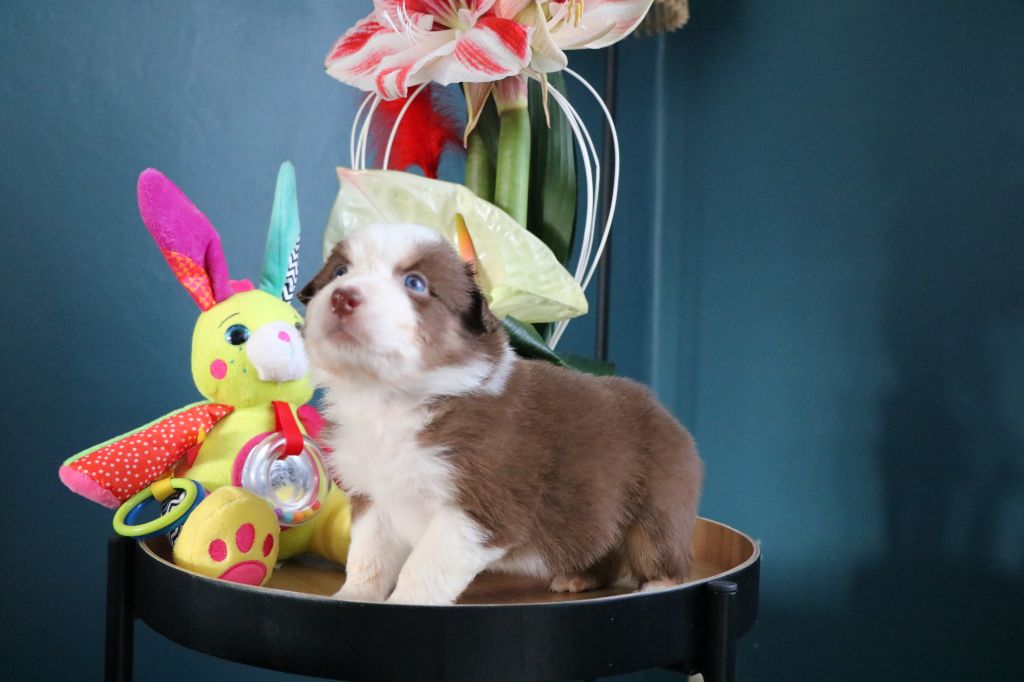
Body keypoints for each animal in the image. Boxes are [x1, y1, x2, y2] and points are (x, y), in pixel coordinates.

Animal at [299, 222, 703, 605]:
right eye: (340, 272)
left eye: (415, 283)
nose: (342, 297)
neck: (390, 399)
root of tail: (662, 409)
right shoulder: (374, 495)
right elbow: (367, 556)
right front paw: (354, 597)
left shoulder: (479, 508)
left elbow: (424, 566)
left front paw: (405, 603)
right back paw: (579, 577)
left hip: (659, 501)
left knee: (658, 550)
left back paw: (657, 586)